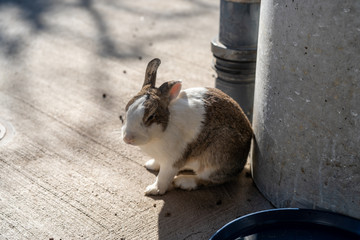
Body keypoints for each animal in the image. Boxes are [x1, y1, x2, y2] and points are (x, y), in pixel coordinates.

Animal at [122, 58, 252, 195]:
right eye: (127, 108)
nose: (127, 138)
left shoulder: (172, 161)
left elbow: (163, 178)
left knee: (209, 179)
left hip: (217, 156)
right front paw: (151, 165)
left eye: (151, 116)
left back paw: (183, 181)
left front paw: (153, 190)